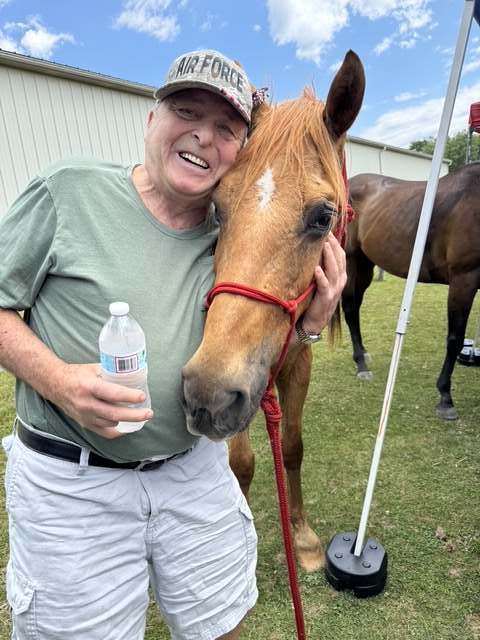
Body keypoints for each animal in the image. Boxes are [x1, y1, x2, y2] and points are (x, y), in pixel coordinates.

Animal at [181, 50, 365, 572]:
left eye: (323, 216)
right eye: (218, 207)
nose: (206, 393)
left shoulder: (296, 364)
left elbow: (292, 447)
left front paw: (302, 538)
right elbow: (241, 462)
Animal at [342, 167, 480, 420]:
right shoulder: (464, 279)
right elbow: (454, 339)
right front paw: (445, 398)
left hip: (366, 265)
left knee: (355, 307)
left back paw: (363, 354)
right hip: (350, 260)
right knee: (349, 309)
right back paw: (361, 365)